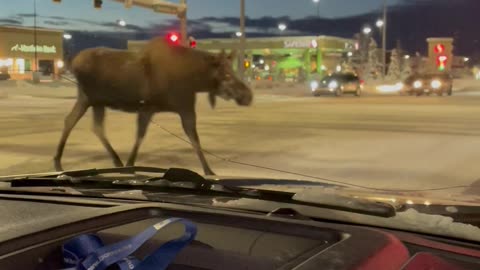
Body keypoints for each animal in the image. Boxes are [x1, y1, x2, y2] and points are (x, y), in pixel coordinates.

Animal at [54, 37, 253, 175]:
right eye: (226, 74)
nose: (248, 96)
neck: (196, 81)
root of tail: (73, 63)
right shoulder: (152, 108)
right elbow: (143, 136)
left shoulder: (183, 109)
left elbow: (193, 139)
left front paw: (209, 171)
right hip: (90, 98)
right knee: (79, 123)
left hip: (93, 100)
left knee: (86, 124)